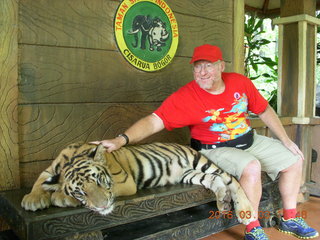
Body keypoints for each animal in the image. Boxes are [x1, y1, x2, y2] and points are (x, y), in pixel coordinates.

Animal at [20, 142, 255, 224]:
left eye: (98, 180)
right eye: (81, 192)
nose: (102, 207)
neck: (71, 158)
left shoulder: (124, 181)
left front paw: (59, 196)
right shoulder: (50, 169)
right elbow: (40, 180)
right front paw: (33, 199)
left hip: (202, 163)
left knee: (230, 179)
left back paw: (244, 210)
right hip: (190, 174)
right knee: (216, 181)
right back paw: (222, 202)